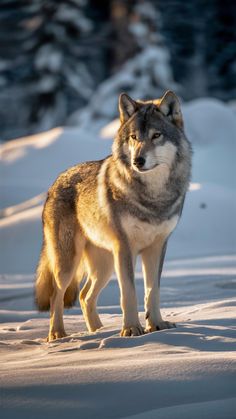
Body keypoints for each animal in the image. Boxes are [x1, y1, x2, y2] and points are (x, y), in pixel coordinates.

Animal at [35, 91, 192, 342]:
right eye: (134, 137)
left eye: (156, 135)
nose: (138, 160)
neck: (153, 197)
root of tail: (55, 182)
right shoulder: (125, 248)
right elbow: (129, 293)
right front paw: (131, 329)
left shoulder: (157, 247)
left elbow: (152, 291)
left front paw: (157, 325)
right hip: (69, 264)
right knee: (56, 295)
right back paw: (57, 334)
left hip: (105, 265)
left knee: (84, 296)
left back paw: (98, 331)